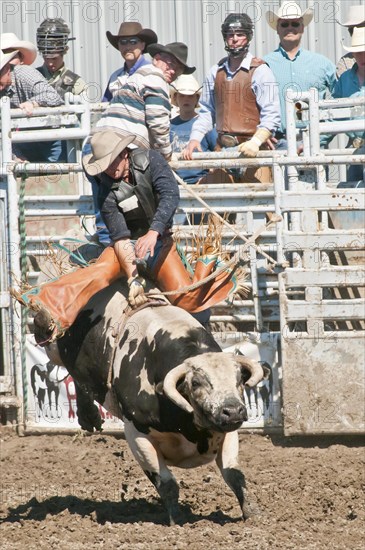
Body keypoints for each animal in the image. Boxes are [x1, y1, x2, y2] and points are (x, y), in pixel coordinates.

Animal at [42, 282, 268, 528]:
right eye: (196, 383)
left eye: (239, 379)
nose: (233, 411)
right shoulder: (137, 433)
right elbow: (167, 484)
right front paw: (177, 521)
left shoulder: (226, 432)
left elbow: (235, 475)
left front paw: (253, 513)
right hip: (55, 347)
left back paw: (88, 416)